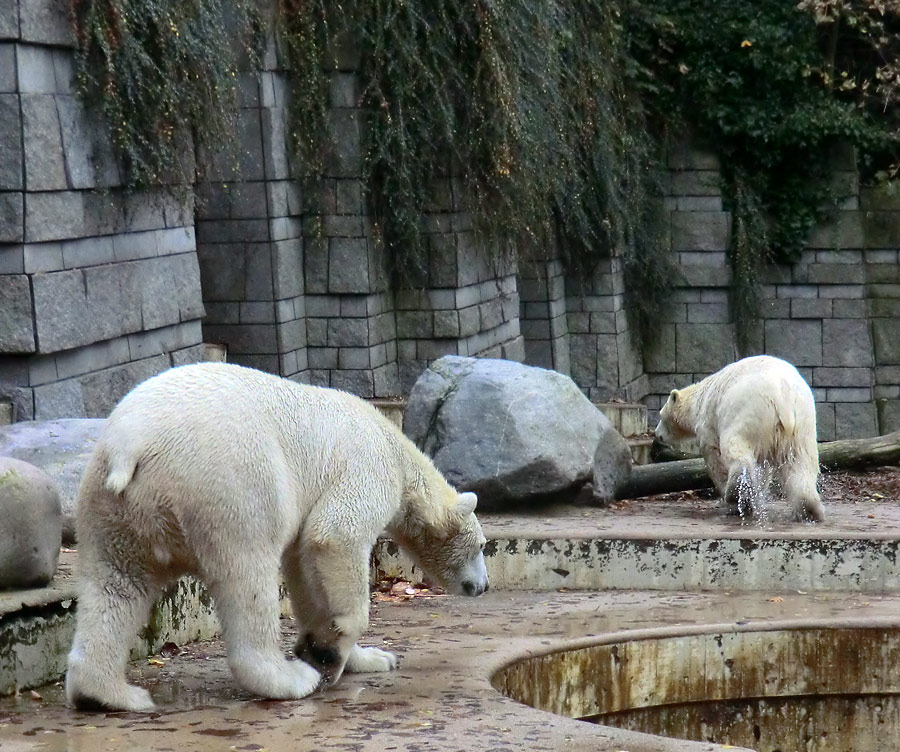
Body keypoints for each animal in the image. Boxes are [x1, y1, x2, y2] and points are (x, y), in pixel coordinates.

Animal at [67, 362, 488, 712]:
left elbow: (306, 570)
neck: (395, 445)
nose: (482, 586)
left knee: (118, 585)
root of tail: (131, 441)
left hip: (114, 504)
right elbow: (335, 537)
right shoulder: (367, 466)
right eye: (481, 546)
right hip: (229, 483)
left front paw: (371, 657)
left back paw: (109, 694)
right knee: (247, 575)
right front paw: (325, 653)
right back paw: (287, 679)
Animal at [652, 356, 824, 524]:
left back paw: (734, 496)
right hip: (802, 423)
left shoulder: (707, 424)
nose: (656, 434)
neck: (699, 399)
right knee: (800, 462)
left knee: (736, 451)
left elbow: (714, 457)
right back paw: (809, 510)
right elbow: (763, 468)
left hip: (747, 412)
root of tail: (783, 395)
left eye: (661, 416)